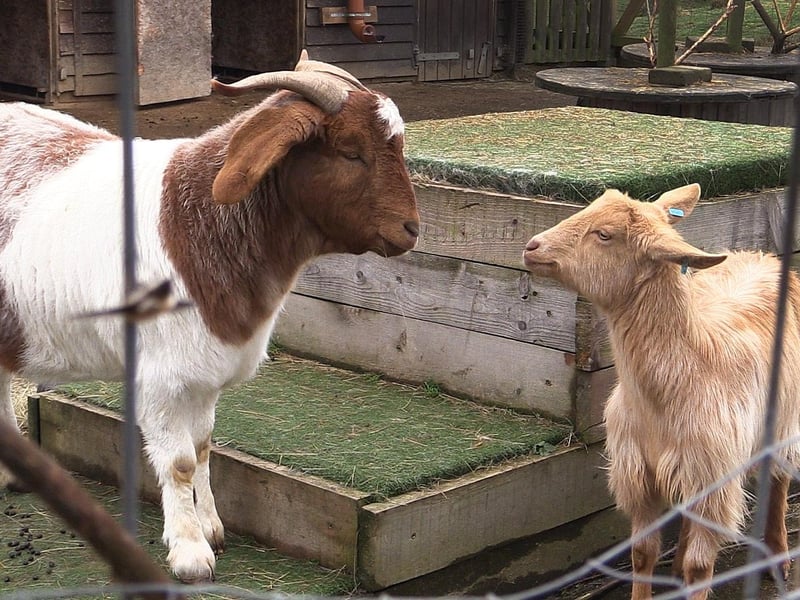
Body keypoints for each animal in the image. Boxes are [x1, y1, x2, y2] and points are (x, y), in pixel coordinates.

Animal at [0, 51, 419, 583]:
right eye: (350, 151)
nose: (412, 228)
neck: (195, 220)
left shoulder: (205, 372)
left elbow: (202, 446)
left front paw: (212, 527)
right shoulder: (158, 377)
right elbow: (179, 461)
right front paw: (190, 553)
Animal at [522, 183, 800, 600]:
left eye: (604, 235)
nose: (532, 247)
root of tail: (760, 256)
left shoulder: (715, 481)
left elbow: (701, 567)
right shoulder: (639, 473)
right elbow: (642, 553)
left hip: (783, 418)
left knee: (780, 477)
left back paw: (778, 557)